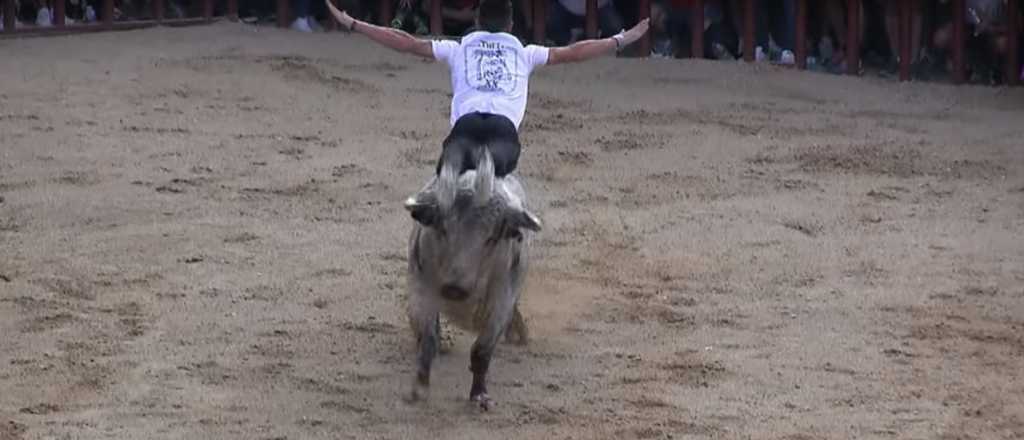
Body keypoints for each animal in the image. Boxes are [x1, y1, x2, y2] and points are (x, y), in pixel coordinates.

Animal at [401, 146, 540, 411]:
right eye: (442, 228)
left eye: (492, 237)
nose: (455, 288)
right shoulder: (421, 290)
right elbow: (428, 339)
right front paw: (419, 389)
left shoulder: (501, 301)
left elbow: (481, 350)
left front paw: (480, 395)